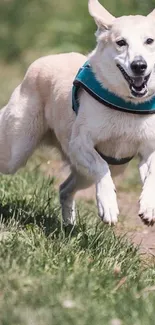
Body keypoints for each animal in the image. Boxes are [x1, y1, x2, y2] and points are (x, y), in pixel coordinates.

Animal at [0, 0, 155, 227]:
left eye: (150, 41)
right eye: (121, 42)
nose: (139, 65)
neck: (128, 103)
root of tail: (42, 60)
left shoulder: (148, 149)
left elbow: (152, 175)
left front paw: (148, 207)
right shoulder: (80, 143)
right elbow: (101, 166)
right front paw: (108, 206)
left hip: (93, 171)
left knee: (65, 188)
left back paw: (69, 225)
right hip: (16, 151)